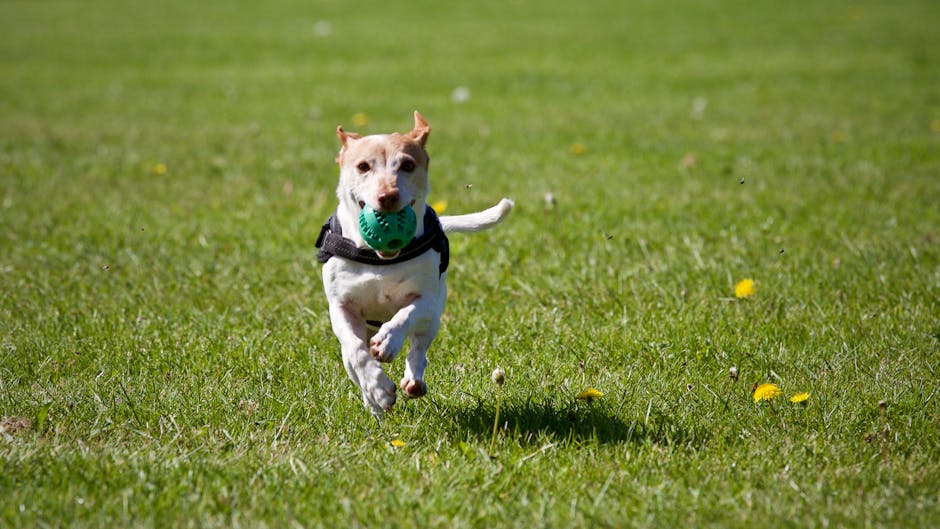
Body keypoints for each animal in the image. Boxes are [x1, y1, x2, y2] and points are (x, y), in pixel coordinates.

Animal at [318, 112, 516, 416]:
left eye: (407, 165)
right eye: (363, 166)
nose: (388, 196)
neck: (379, 260)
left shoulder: (427, 300)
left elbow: (406, 315)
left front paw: (388, 342)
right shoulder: (341, 307)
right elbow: (356, 351)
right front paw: (378, 388)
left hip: (432, 320)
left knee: (419, 349)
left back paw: (413, 379)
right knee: (353, 360)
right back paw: (374, 404)